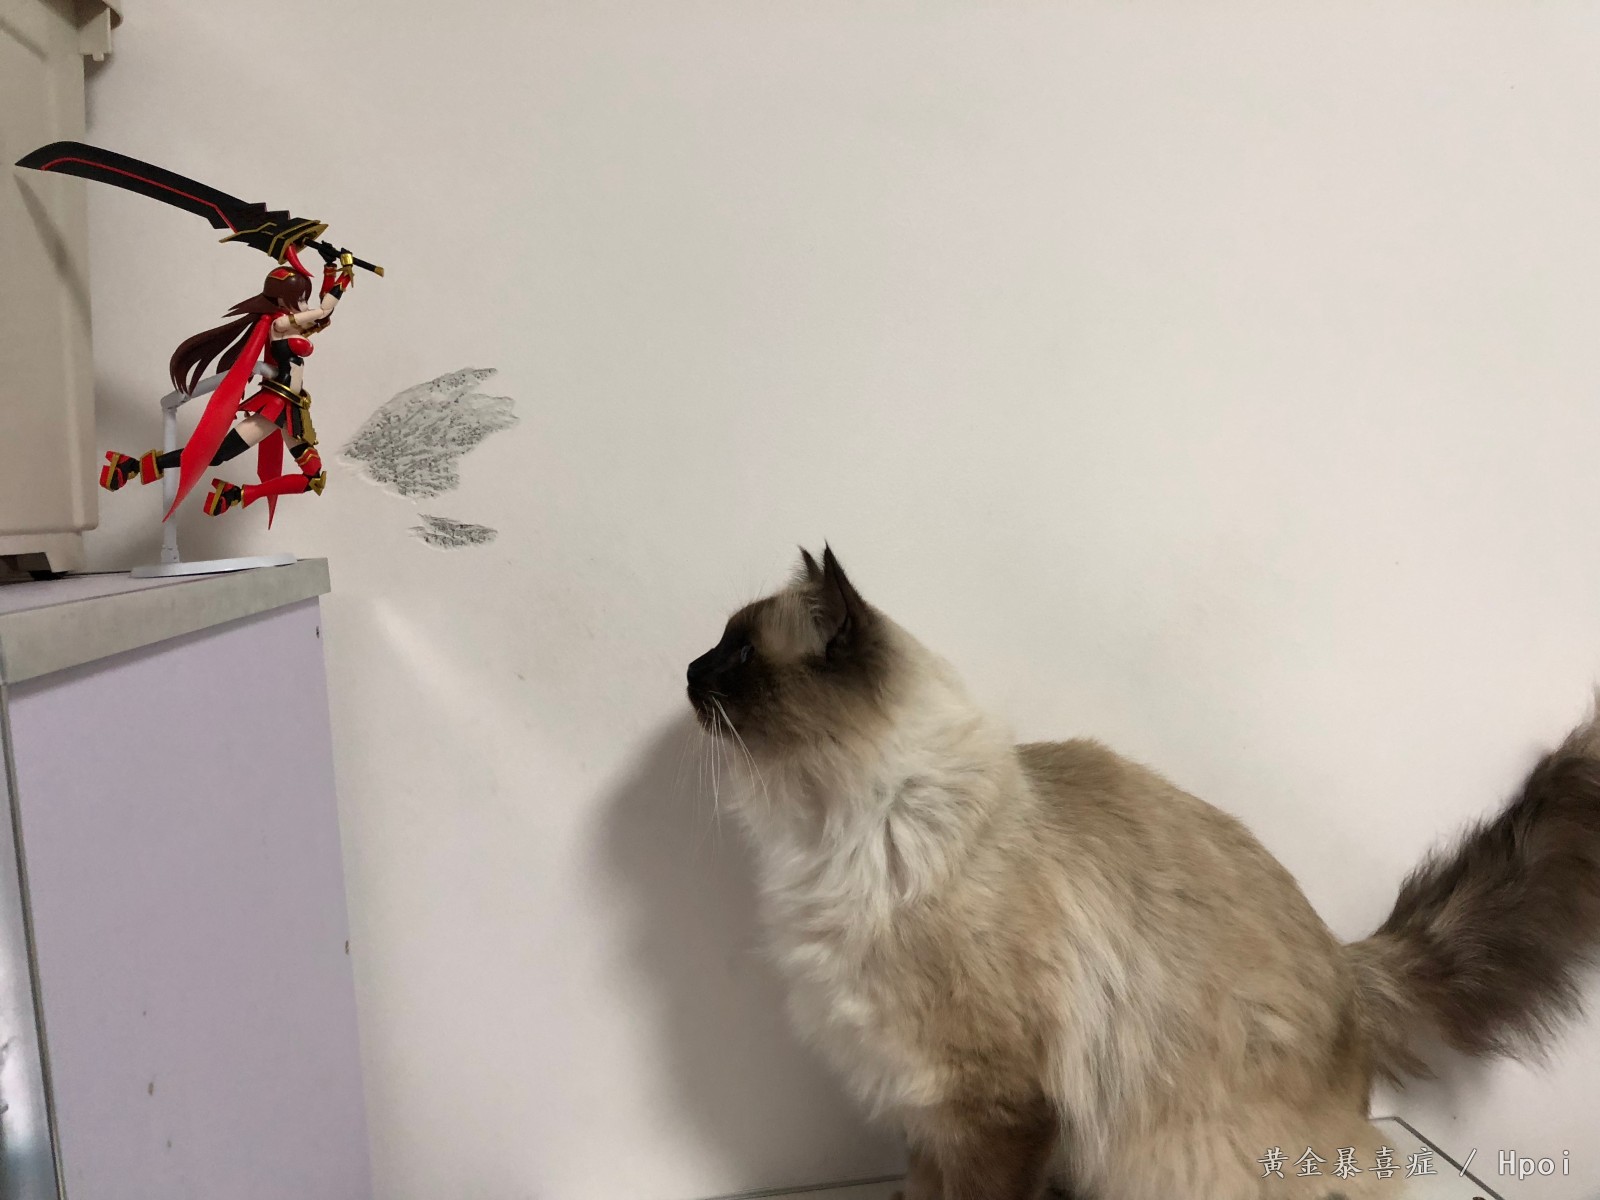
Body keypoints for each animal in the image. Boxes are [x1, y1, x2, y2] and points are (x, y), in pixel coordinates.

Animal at [685, 547, 1600, 1200]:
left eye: (737, 653)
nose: (689, 673)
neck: (840, 829)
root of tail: (1348, 964)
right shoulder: (924, 1105)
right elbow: (918, 1190)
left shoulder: (989, 1104)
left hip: (1189, 1155)